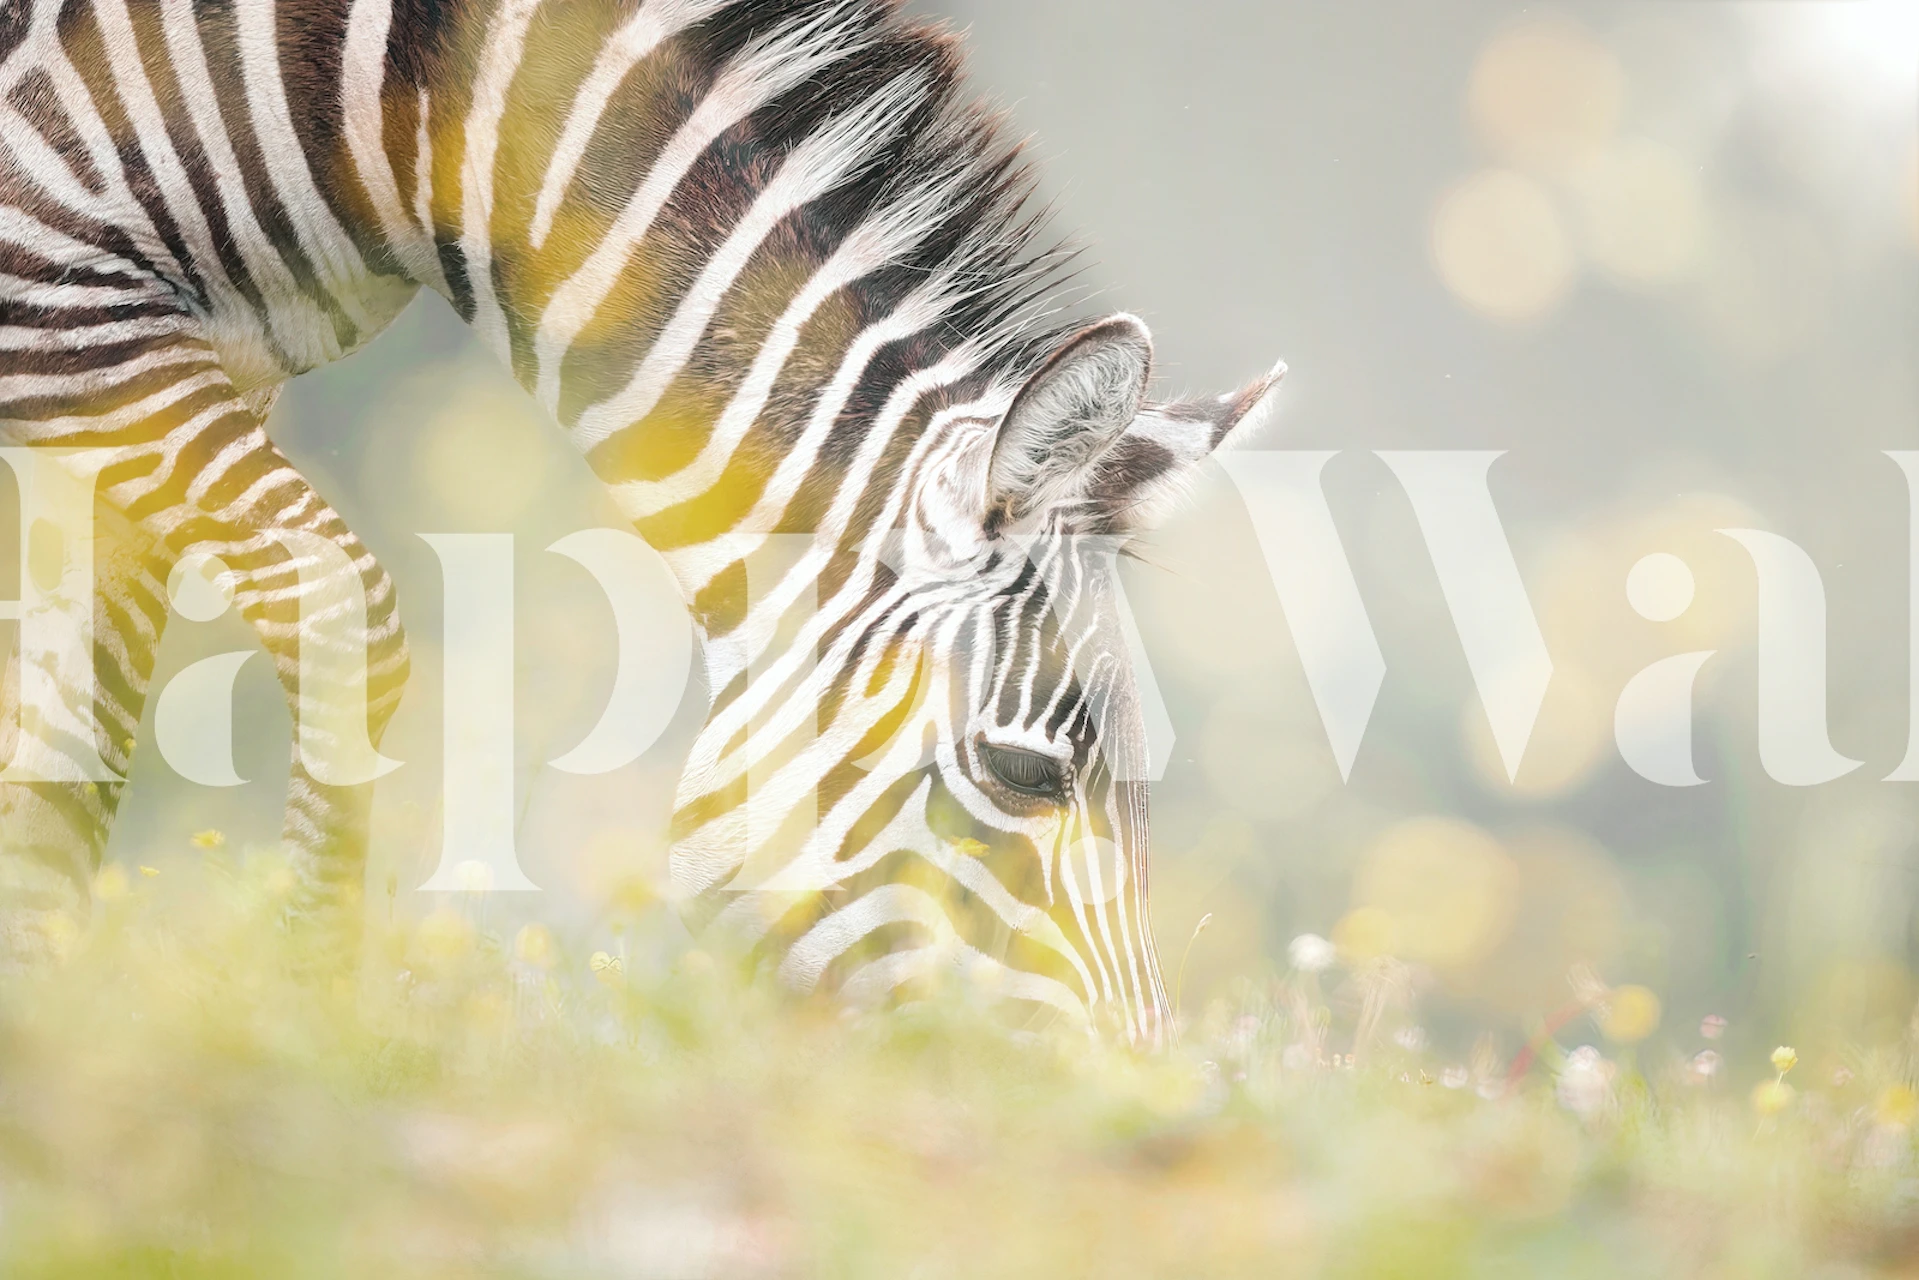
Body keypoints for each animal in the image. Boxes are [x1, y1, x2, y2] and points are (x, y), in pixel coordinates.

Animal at [0, 0, 1281, 1041]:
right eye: (1024, 775)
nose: (1133, 1091)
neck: (401, 110)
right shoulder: (63, 311)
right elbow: (332, 604)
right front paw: (296, 1029)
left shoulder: (179, 369)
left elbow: (70, 747)